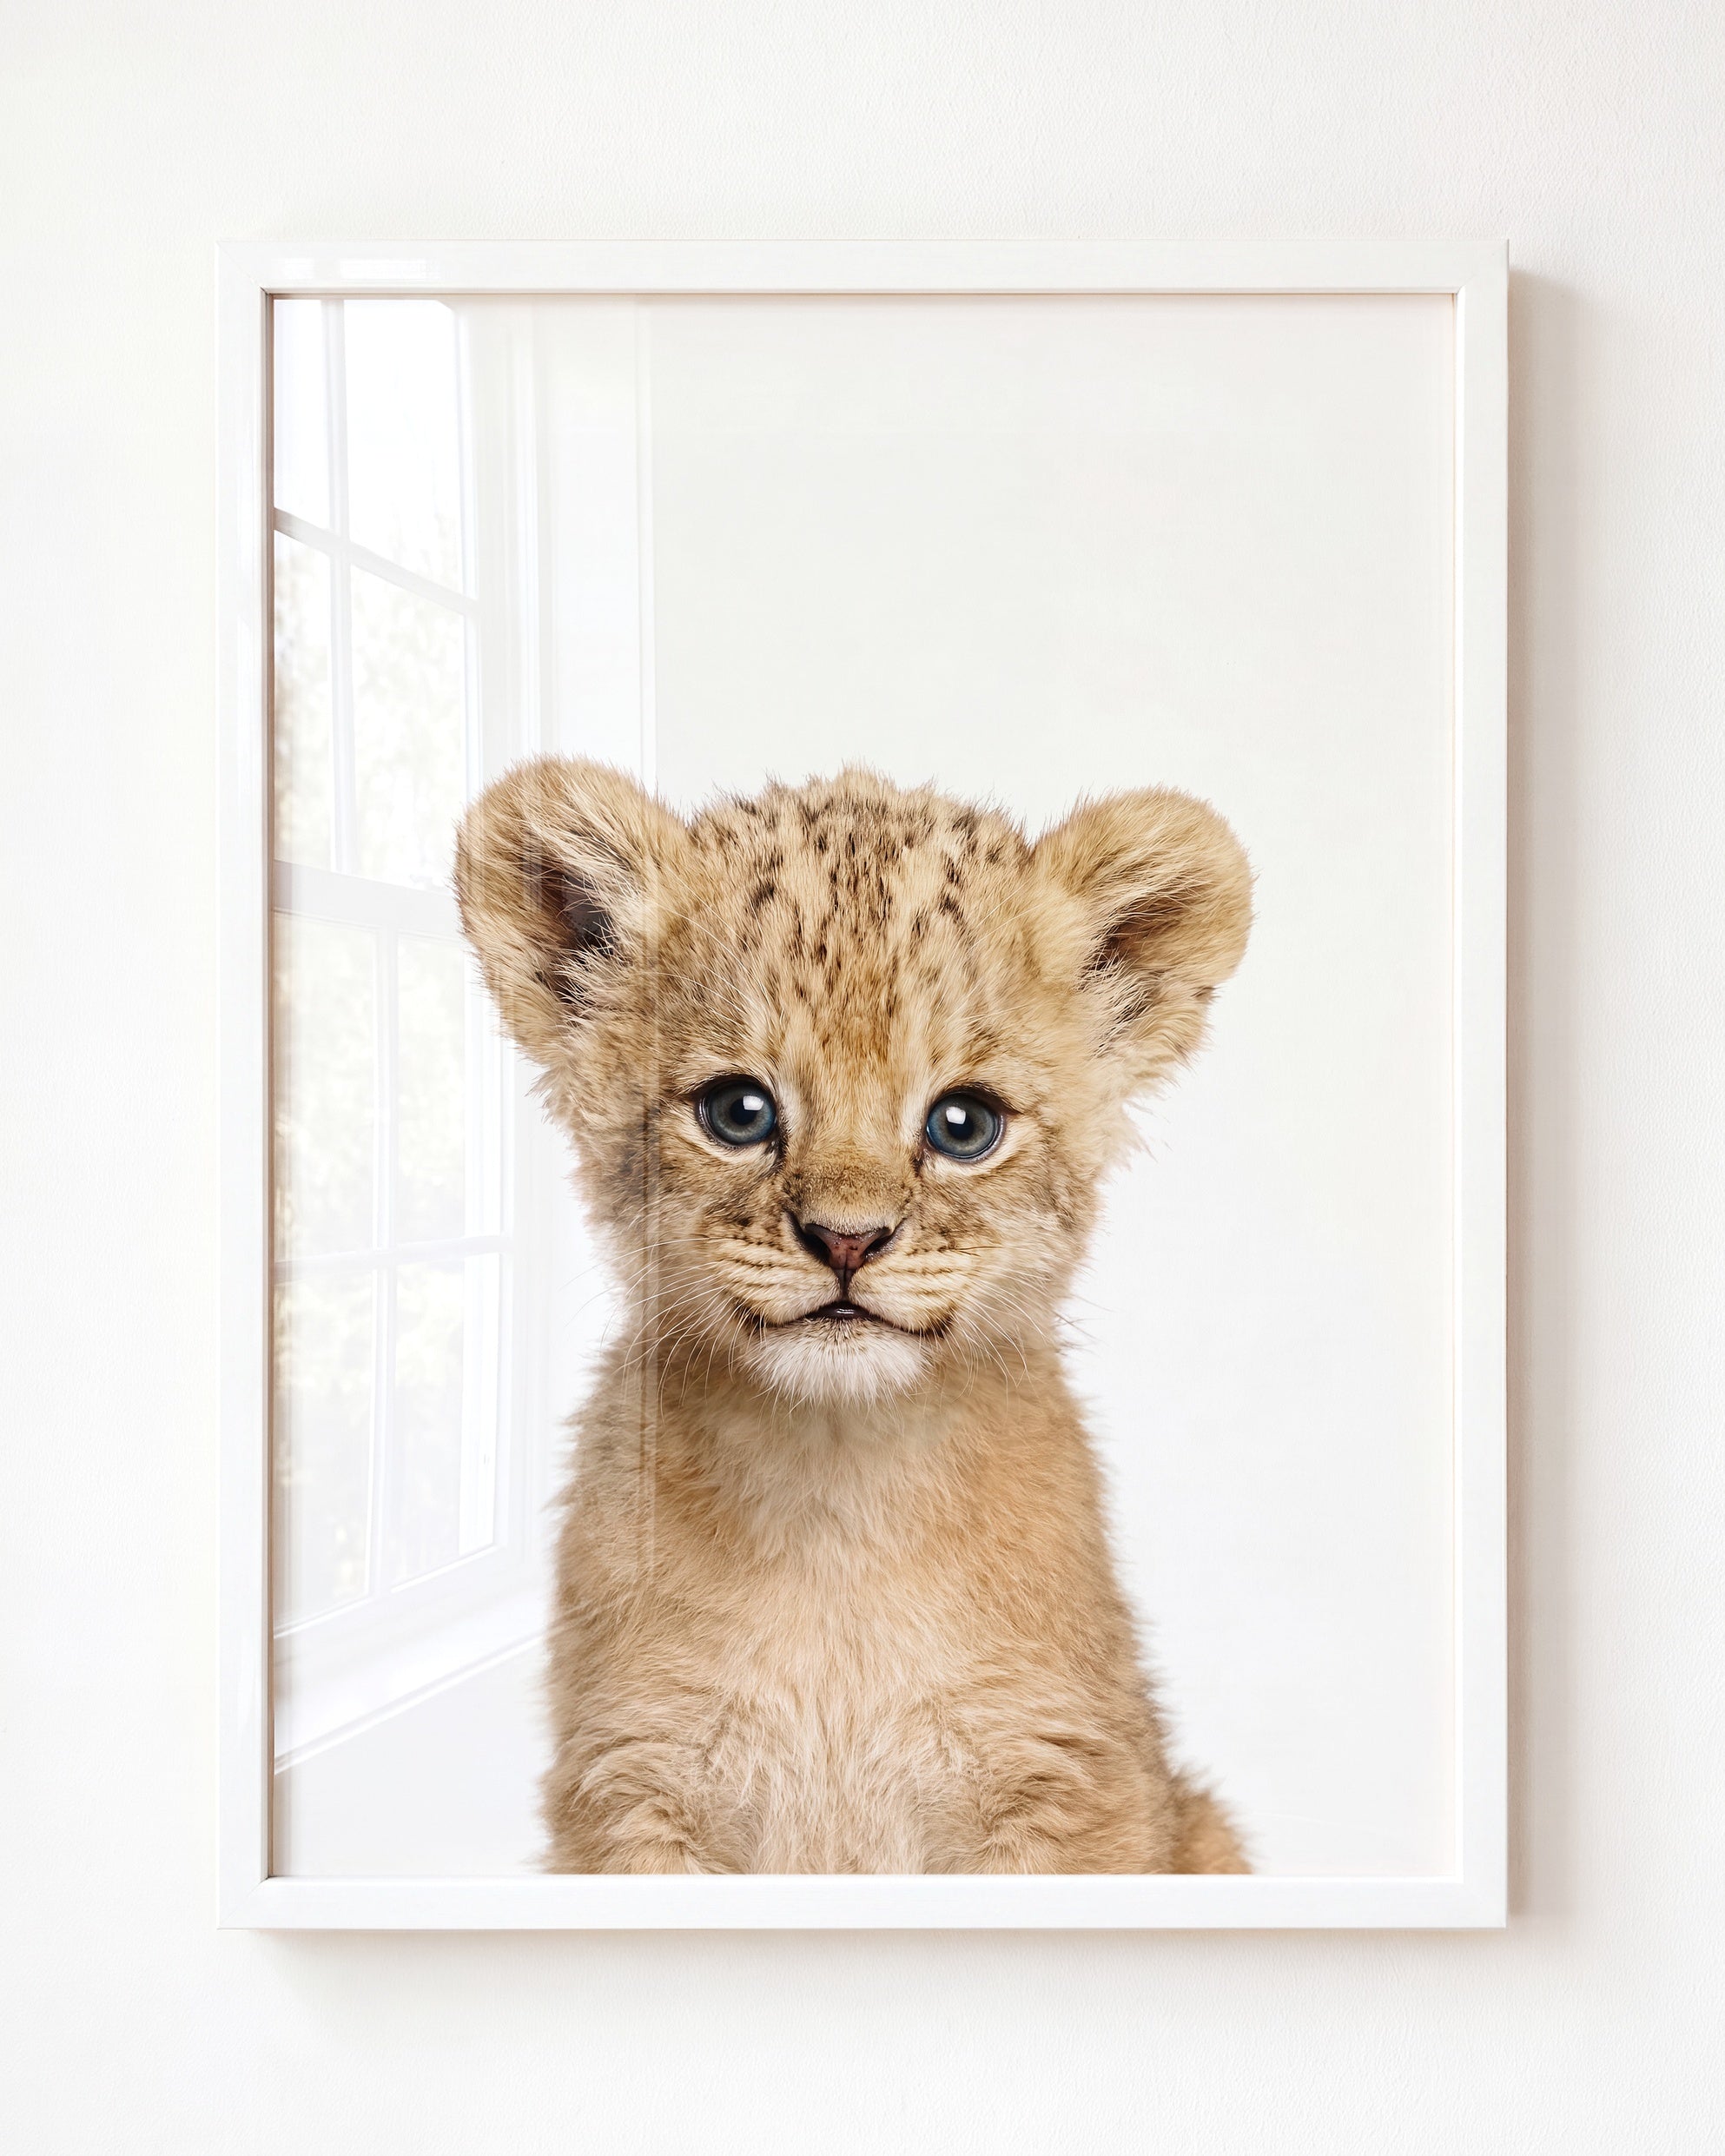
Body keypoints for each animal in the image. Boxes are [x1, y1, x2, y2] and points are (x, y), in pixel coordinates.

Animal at [455, 759, 1252, 1874]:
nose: (846, 1240)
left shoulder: (1068, 1778)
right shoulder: (633, 1783)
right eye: (738, 1111)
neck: (836, 1498)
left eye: (964, 1125)